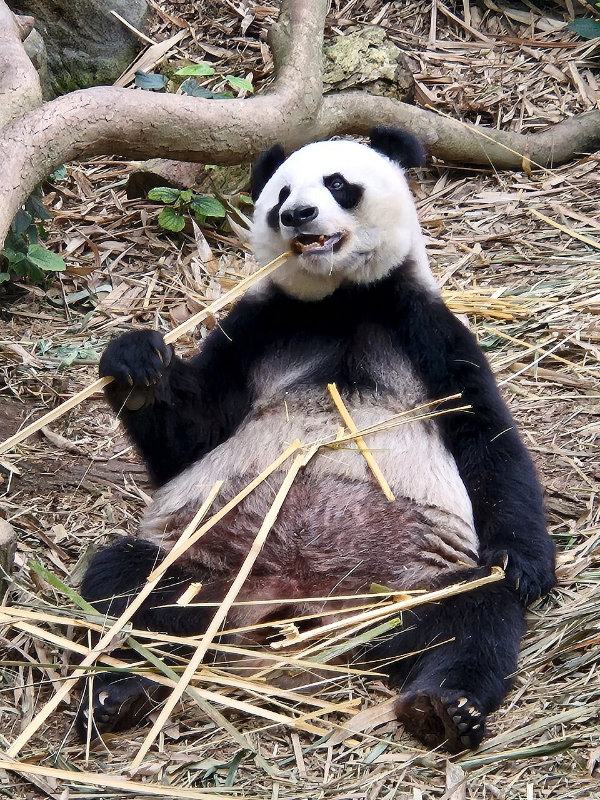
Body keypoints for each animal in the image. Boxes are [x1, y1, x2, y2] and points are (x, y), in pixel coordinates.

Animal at [79, 127, 556, 752]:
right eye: (280, 193)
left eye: (337, 183)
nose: (296, 214)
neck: (341, 301)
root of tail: (301, 600)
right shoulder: (259, 328)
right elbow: (191, 436)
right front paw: (137, 365)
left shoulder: (425, 328)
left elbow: (486, 437)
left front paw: (525, 565)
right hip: (204, 567)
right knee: (126, 588)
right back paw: (118, 689)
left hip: (406, 585)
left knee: (471, 613)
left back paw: (445, 706)